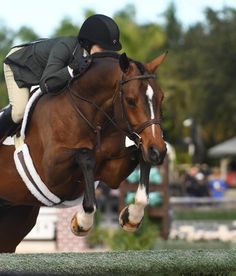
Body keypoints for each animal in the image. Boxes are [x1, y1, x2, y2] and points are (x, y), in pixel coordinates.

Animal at [0, 51, 167, 252]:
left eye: (161, 98)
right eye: (131, 100)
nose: (158, 150)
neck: (89, 114)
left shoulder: (112, 172)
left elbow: (140, 157)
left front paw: (132, 217)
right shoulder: (51, 172)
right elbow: (86, 156)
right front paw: (82, 221)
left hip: (16, 217)